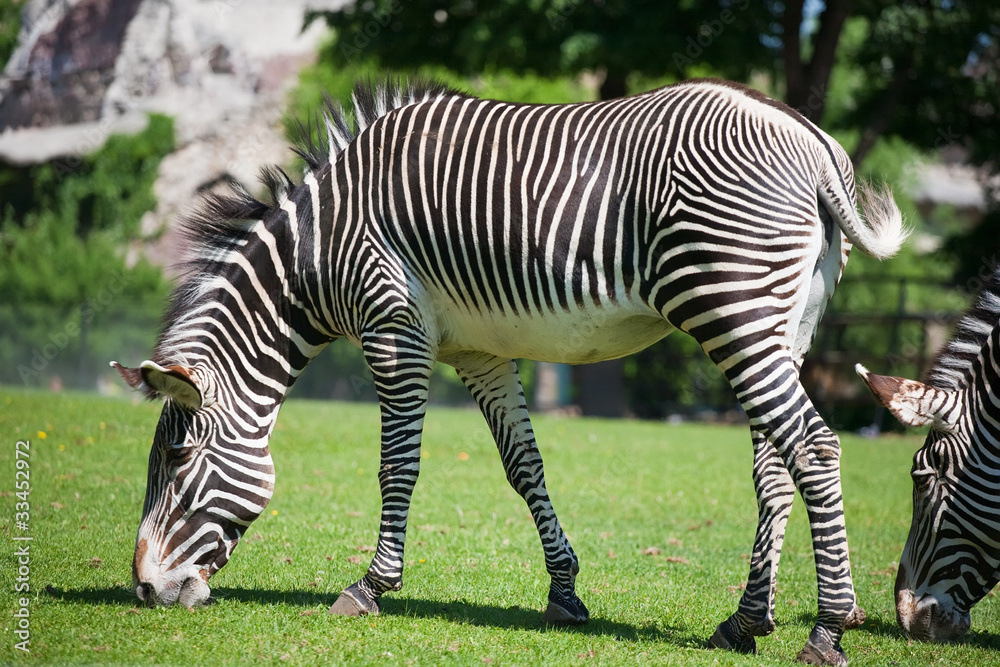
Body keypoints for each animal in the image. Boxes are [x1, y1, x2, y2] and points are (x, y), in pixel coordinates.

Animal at [112, 77, 907, 665]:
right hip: (780, 326)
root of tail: (813, 141)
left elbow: (398, 466)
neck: (320, 246)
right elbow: (524, 465)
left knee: (814, 448)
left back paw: (828, 629)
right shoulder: (480, 351)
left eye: (177, 459)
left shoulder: (393, 329)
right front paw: (565, 593)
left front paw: (370, 587)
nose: (144, 589)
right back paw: (744, 622)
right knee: (775, 465)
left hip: (729, 307)